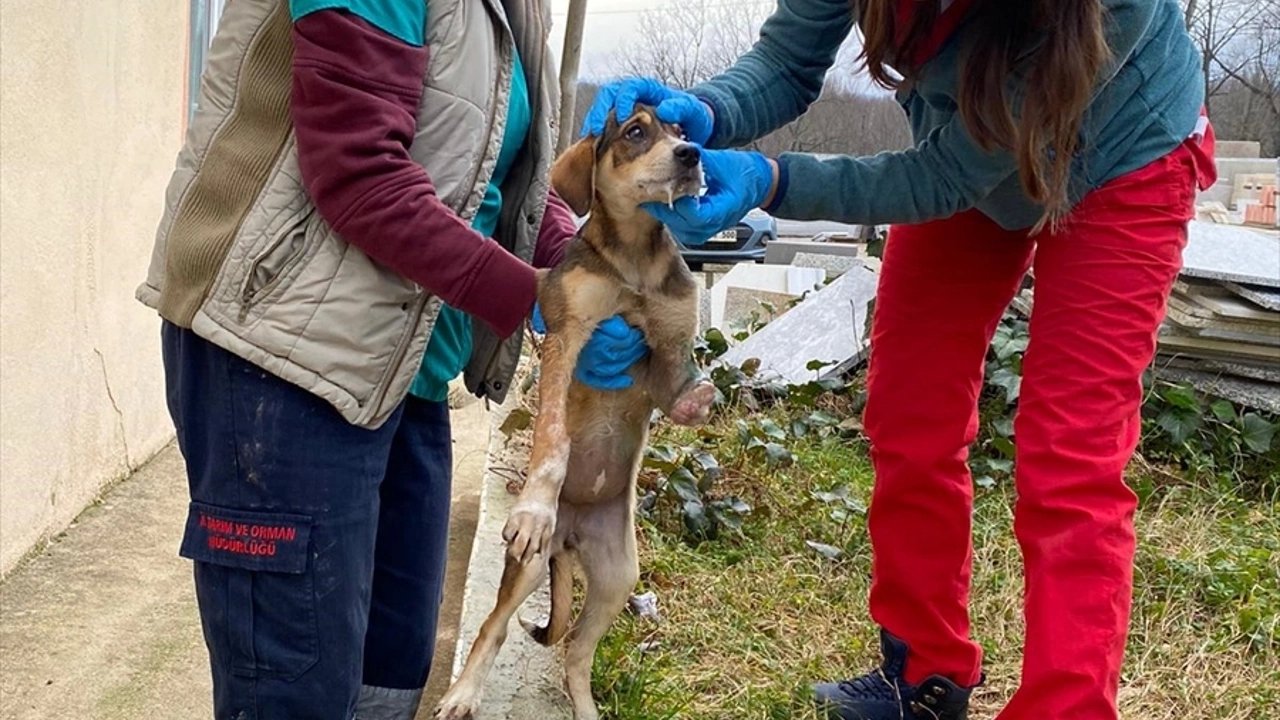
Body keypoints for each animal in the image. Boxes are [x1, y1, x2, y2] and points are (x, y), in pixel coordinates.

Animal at [437, 107, 721, 717]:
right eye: (635, 132)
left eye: (682, 130)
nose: (692, 155)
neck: (635, 259)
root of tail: (570, 539)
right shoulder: (567, 336)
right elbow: (553, 436)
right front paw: (534, 505)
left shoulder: (664, 354)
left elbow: (680, 388)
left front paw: (701, 398)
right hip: (528, 567)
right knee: (494, 628)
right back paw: (462, 694)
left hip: (618, 578)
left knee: (576, 654)